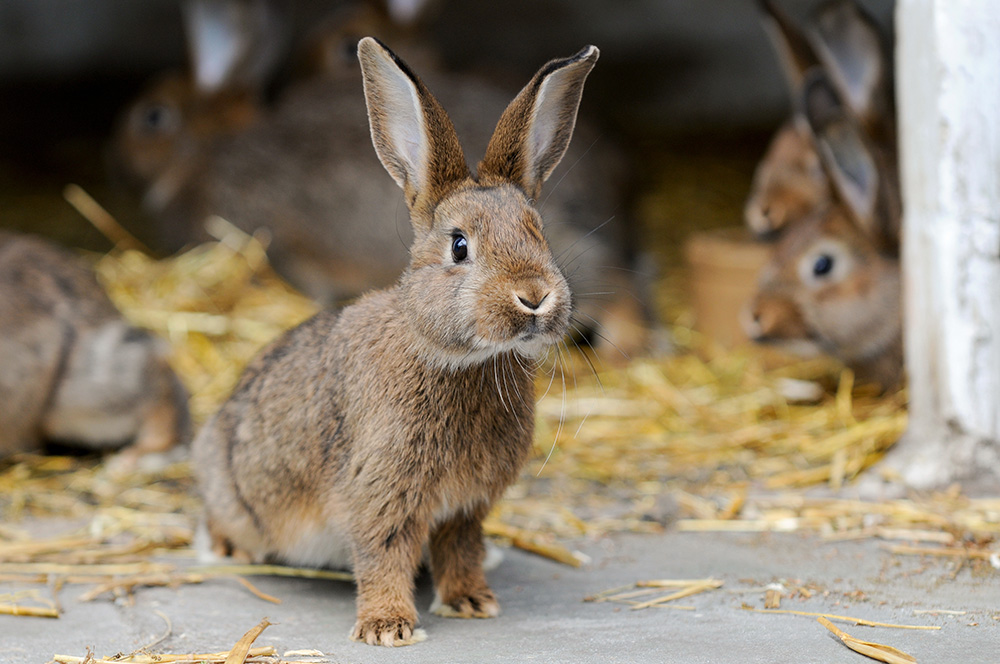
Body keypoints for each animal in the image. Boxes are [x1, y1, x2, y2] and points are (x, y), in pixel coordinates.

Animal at [192, 37, 595, 646]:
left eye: (539, 233)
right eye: (459, 246)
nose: (534, 297)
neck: (457, 359)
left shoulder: (465, 507)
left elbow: (460, 550)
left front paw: (472, 602)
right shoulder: (382, 491)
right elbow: (382, 553)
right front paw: (387, 628)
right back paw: (223, 548)